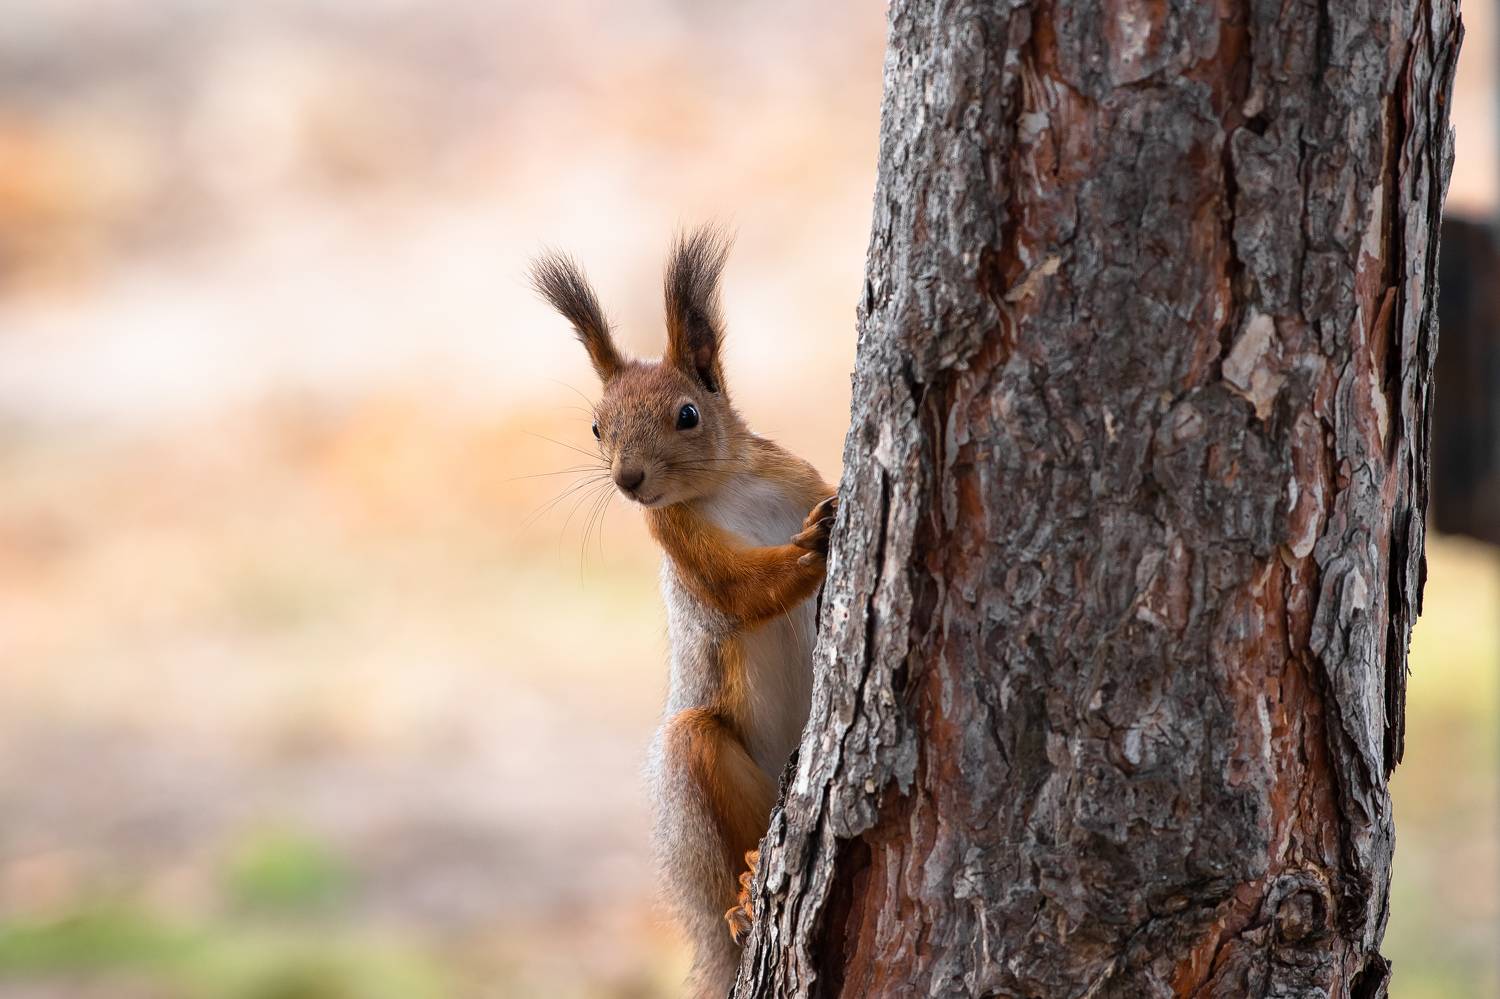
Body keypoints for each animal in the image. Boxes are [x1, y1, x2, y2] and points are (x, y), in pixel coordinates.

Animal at [531, 226, 836, 997]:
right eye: (597, 426)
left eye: (688, 415)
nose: (629, 480)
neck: (730, 487)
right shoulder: (682, 545)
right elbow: (739, 591)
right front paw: (812, 548)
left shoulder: (801, 475)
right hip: (700, 765)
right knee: (723, 816)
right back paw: (746, 889)